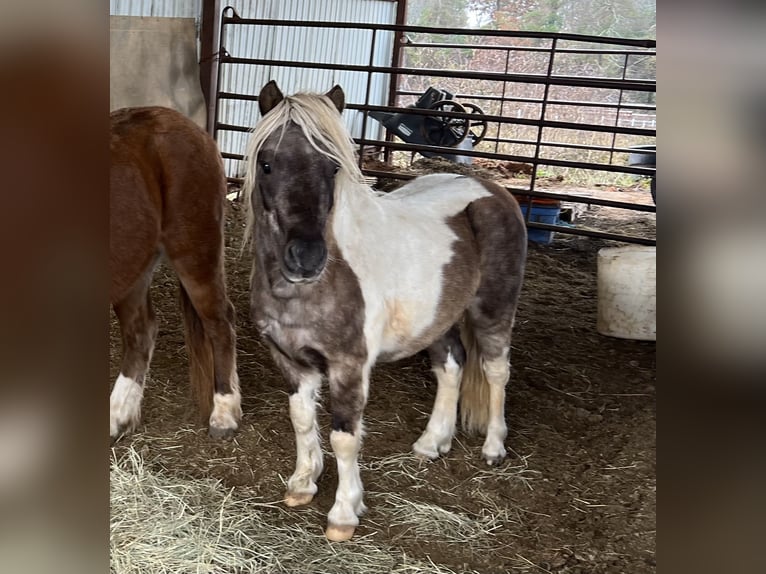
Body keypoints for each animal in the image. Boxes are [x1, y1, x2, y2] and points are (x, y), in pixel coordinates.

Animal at [110, 106, 242, 441]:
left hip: (195, 254)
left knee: (220, 323)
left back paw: (224, 413)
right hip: (133, 267)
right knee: (141, 332)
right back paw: (118, 416)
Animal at [243, 81, 527, 541]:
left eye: (333, 168)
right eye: (266, 163)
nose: (306, 258)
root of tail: (492, 190)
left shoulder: (349, 365)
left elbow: (345, 437)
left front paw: (344, 514)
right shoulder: (289, 359)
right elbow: (301, 419)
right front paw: (303, 484)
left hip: (494, 310)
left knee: (496, 371)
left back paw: (494, 447)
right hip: (438, 320)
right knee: (452, 368)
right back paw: (431, 443)